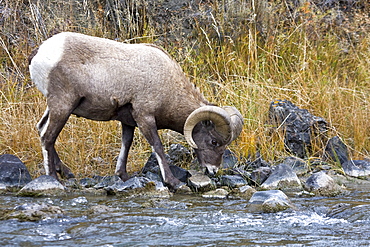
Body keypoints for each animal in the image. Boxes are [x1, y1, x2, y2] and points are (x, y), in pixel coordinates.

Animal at [28, 32, 243, 191]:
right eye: (214, 142)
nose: (213, 171)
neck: (168, 85)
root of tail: (40, 52)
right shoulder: (144, 117)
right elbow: (157, 146)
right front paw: (173, 182)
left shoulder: (128, 122)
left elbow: (126, 144)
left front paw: (122, 175)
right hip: (63, 105)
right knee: (48, 137)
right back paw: (53, 178)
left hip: (57, 107)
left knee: (41, 129)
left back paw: (65, 172)